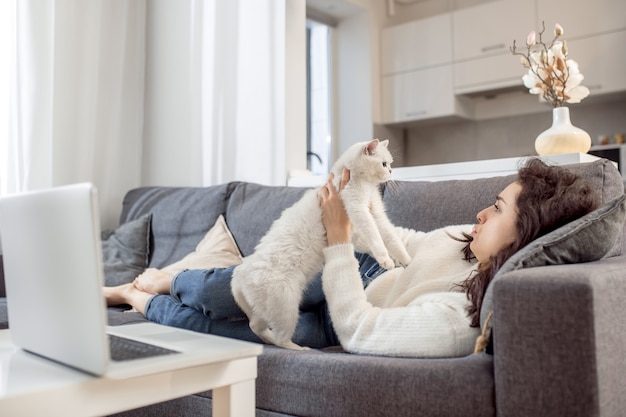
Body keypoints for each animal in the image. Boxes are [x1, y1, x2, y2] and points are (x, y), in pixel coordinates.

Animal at [229, 138, 410, 350]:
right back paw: (299, 348)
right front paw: (386, 259)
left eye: (390, 163)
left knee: (255, 326)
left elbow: (390, 238)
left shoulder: (374, 217)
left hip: (270, 308)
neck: (362, 184)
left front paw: (403, 260)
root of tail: (240, 275)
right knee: (280, 338)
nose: (391, 171)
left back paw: (270, 339)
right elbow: (376, 238)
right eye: (384, 163)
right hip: (286, 307)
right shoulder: (359, 211)